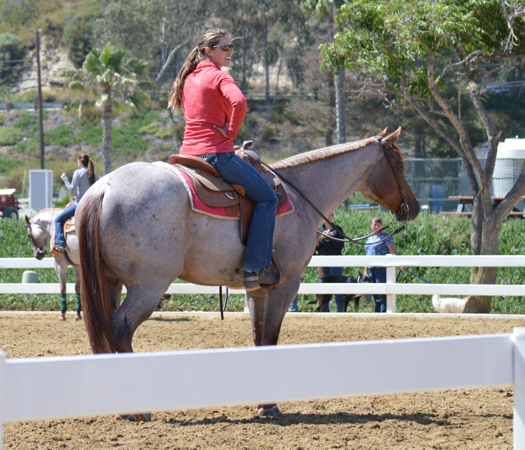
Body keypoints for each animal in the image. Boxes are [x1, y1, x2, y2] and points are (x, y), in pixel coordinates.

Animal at [77, 125, 418, 414]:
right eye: (400, 165)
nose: (412, 208)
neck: (301, 195)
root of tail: (103, 188)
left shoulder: (258, 288)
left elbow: (258, 336)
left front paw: (261, 402)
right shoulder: (287, 284)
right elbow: (271, 337)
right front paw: (269, 406)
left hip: (110, 282)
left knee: (108, 327)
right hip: (148, 286)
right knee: (121, 328)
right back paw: (136, 409)